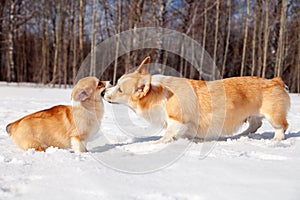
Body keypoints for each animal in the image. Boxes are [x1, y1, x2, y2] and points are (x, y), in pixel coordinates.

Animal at [103, 56, 290, 142]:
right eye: (116, 83)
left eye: (120, 89)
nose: (103, 93)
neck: (158, 95)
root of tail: (276, 81)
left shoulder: (177, 121)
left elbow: (166, 136)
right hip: (252, 115)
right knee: (255, 125)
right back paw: (241, 135)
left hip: (273, 115)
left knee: (281, 127)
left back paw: (276, 139)